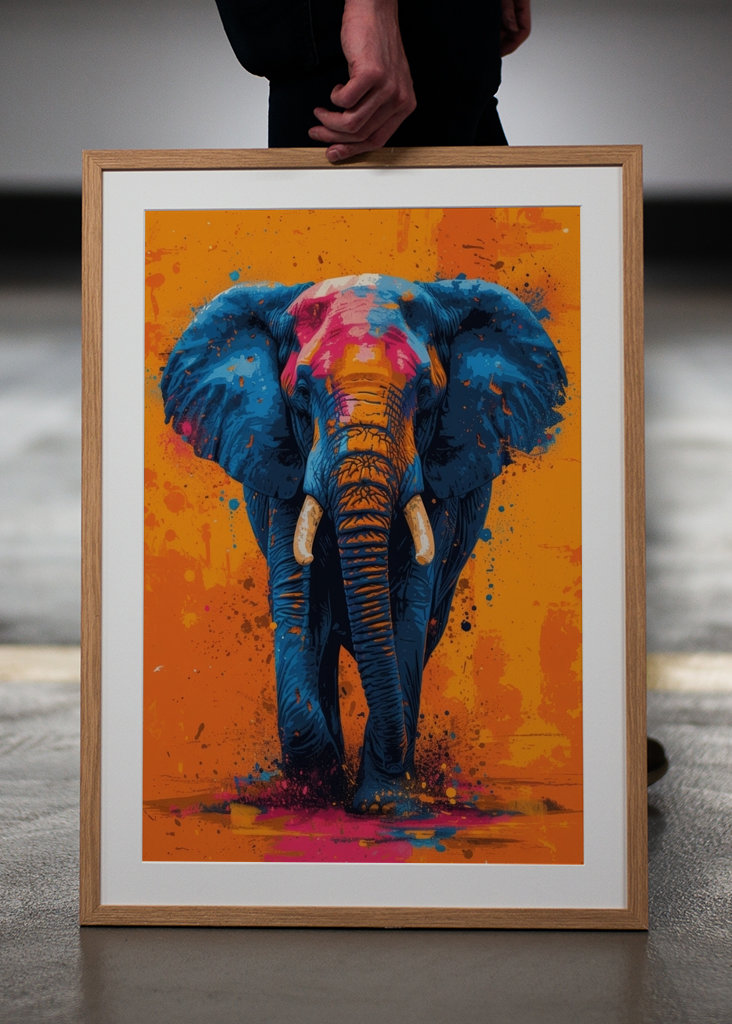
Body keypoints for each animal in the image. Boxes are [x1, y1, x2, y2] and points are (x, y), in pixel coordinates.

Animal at [160, 272, 566, 814]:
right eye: (301, 392)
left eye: (426, 392)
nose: (339, 790)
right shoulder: (283, 464)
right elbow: (301, 605)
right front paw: (317, 788)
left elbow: (407, 612)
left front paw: (382, 805)